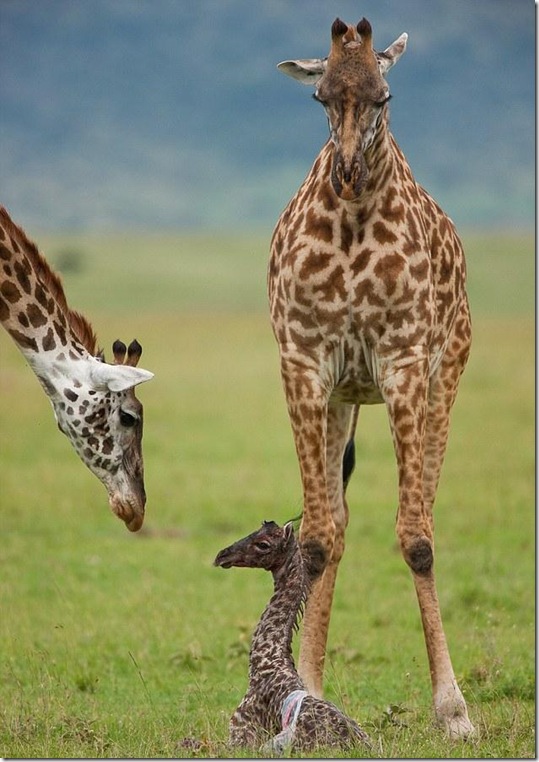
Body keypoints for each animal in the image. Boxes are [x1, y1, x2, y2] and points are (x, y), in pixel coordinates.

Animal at [268, 18, 474, 738]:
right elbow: (315, 538)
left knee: (425, 510)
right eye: (320, 97)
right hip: (341, 398)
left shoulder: (405, 362)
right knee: (338, 520)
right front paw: (304, 689)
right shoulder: (305, 363)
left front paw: (454, 709)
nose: (350, 174)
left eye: (385, 97)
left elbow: (417, 539)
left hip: (444, 377)